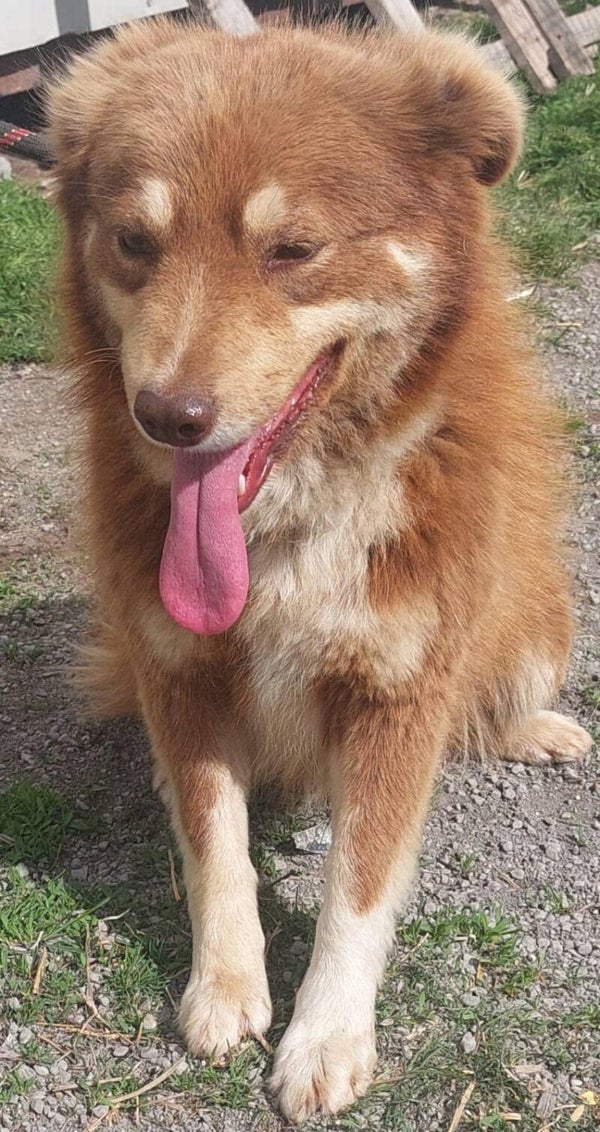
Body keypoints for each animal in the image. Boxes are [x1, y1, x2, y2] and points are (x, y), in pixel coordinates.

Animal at [47, 18, 592, 1121]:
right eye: (134, 241)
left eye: (292, 250)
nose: (166, 417)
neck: (290, 517)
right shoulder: (178, 666)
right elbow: (213, 836)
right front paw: (225, 987)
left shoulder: (401, 687)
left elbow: (360, 880)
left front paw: (327, 1035)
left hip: (536, 621)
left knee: (501, 692)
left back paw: (538, 729)